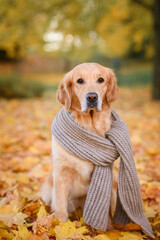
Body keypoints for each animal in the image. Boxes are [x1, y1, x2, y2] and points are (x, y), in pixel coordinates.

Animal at [41, 62, 119, 227]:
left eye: (101, 79)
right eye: (80, 81)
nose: (92, 97)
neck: (88, 128)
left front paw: (109, 227)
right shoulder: (61, 173)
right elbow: (60, 204)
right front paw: (60, 224)